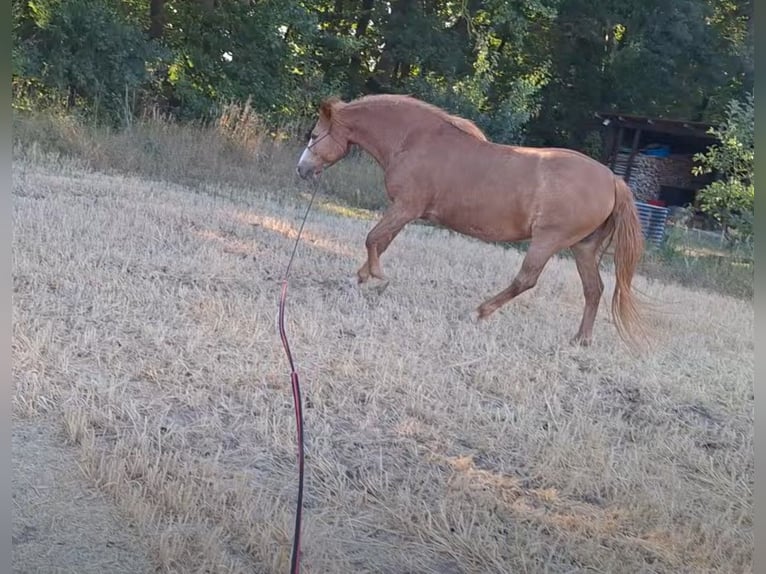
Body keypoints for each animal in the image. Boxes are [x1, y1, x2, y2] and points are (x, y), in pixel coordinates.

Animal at [296, 94, 646, 348]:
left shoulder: (406, 208)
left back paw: (478, 312)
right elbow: (380, 242)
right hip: (583, 248)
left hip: (548, 240)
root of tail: (613, 179)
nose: (302, 169)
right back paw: (580, 340)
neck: (414, 140)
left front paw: (376, 276)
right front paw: (360, 278)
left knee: (526, 280)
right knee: (594, 289)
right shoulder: (403, 212)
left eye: (314, 135)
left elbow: (372, 238)